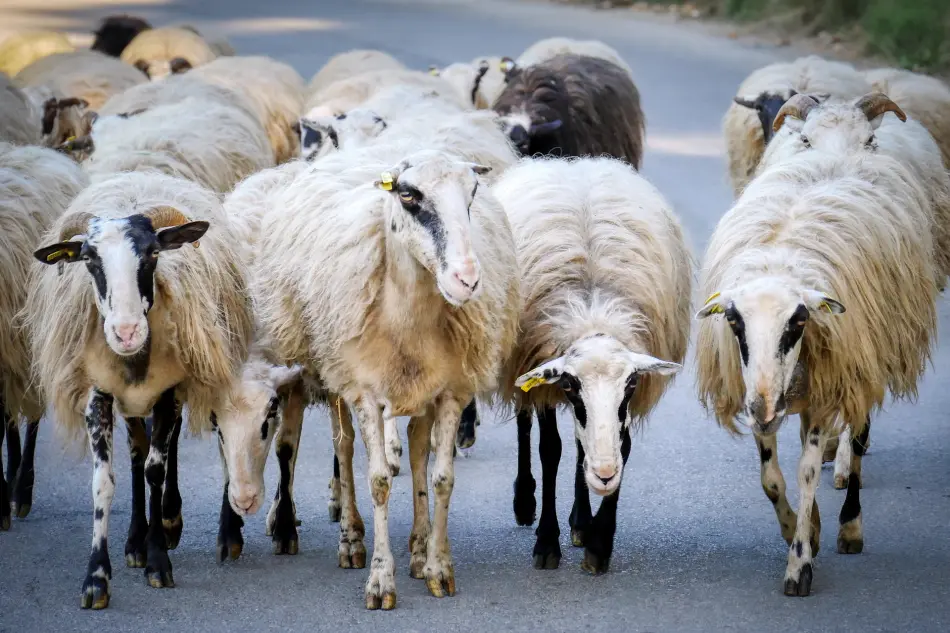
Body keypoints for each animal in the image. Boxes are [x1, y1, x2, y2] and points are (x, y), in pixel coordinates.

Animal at [25, 170, 254, 609]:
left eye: (151, 255)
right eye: (89, 259)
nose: (126, 332)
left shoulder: (169, 393)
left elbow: (156, 469)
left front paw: (158, 560)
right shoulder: (98, 396)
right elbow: (105, 481)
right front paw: (97, 577)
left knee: (161, 452)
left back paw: (168, 520)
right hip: (128, 405)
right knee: (136, 452)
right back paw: (135, 539)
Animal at [249, 141, 519, 609]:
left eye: (472, 194)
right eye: (408, 195)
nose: (466, 280)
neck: (408, 320)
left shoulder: (450, 390)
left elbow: (442, 479)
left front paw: (438, 568)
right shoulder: (365, 391)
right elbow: (376, 481)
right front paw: (379, 580)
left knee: (416, 449)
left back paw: (418, 547)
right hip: (334, 370)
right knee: (343, 449)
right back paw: (352, 540)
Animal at [495, 156, 690, 573]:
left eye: (631, 384)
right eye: (570, 384)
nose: (603, 476)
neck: (593, 310)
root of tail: (571, 162)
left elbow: (623, 445)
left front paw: (599, 541)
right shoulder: (545, 375)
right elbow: (549, 450)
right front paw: (546, 542)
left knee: (581, 443)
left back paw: (581, 520)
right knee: (525, 423)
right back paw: (525, 502)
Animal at [695, 148, 937, 597]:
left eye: (799, 320)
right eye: (733, 321)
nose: (764, 408)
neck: (779, 260)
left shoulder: (827, 394)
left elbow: (806, 473)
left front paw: (800, 564)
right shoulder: (760, 401)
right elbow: (771, 480)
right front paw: (798, 530)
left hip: (860, 369)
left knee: (856, 442)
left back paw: (849, 526)